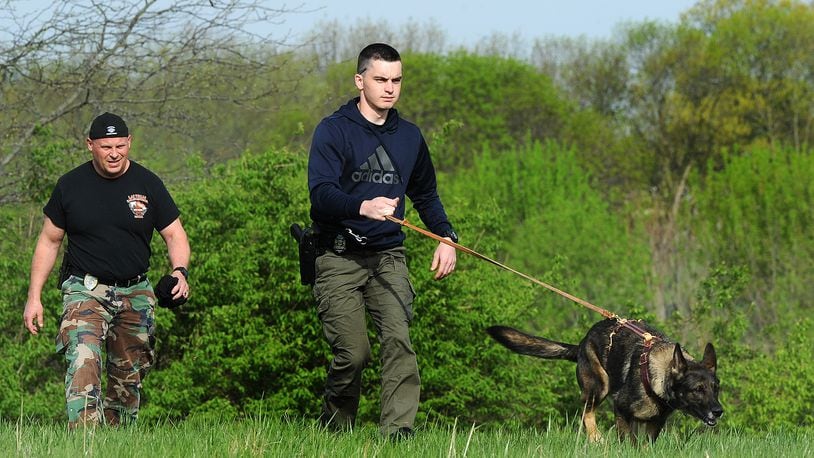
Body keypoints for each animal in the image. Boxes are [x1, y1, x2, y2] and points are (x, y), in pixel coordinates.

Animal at [488, 318, 724, 444]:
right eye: (698, 389)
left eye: (715, 389)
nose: (719, 411)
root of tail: (581, 344)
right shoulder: (620, 410)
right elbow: (629, 441)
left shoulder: (655, 423)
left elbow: (645, 445)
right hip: (599, 385)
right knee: (586, 411)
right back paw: (596, 438)